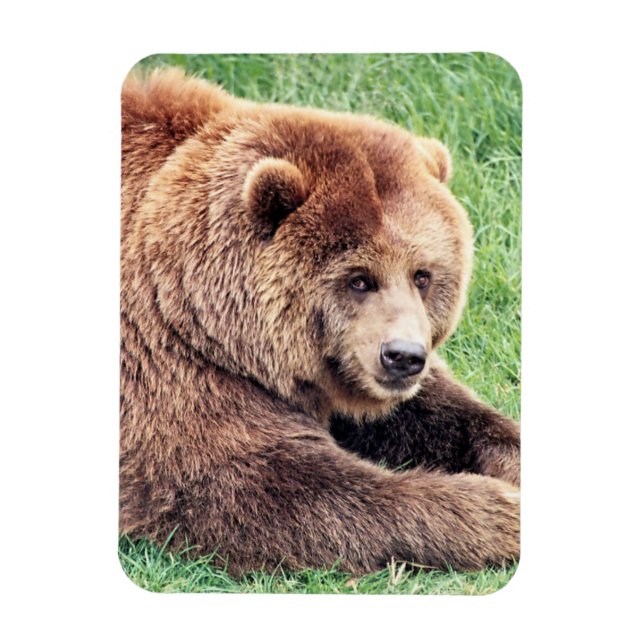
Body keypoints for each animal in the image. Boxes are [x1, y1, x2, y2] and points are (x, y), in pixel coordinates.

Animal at [120, 67, 520, 576]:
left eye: (423, 275)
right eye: (359, 279)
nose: (403, 356)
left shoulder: (345, 370)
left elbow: (443, 413)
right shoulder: (167, 366)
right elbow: (267, 485)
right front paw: (502, 509)